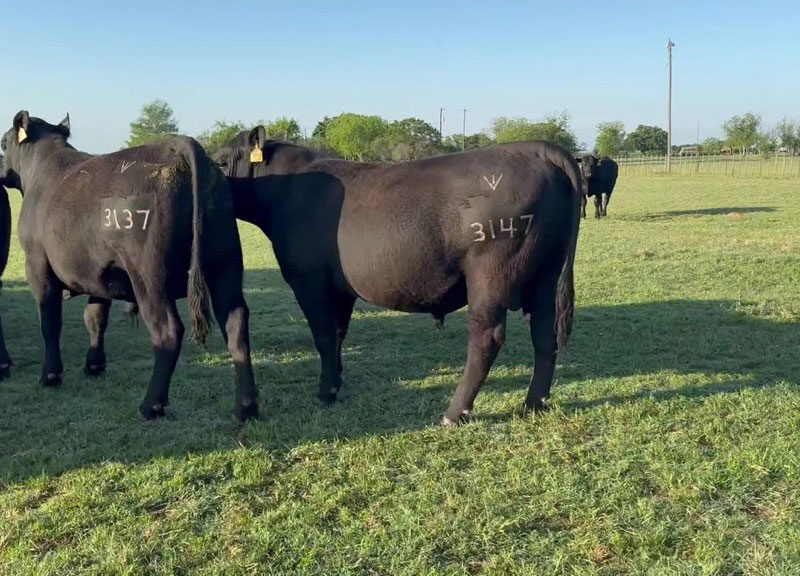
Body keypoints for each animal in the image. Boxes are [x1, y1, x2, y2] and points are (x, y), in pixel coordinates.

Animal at [0, 111, 258, 420]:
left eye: (2, 145)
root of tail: (177, 146)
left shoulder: (37, 265)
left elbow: (49, 321)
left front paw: (50, 375)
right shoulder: (97, 273)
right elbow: (95, 318)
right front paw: (94, 366)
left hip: (149, 275)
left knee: (168, 331)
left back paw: (151, 405)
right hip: (225, 265)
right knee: (236, 325)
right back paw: (245, 407)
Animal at [213, 128, 582, 425]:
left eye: (220, 162)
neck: (290, 187)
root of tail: (536, 149)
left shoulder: (309, 280)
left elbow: (323, 337)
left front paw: (325, 393)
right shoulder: (341, 288)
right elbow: (338, 334)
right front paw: (337, 384)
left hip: (490, 274)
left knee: (486, 338)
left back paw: (454, 413)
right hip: (545, 274)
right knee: (544, 333)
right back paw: (534, 403)